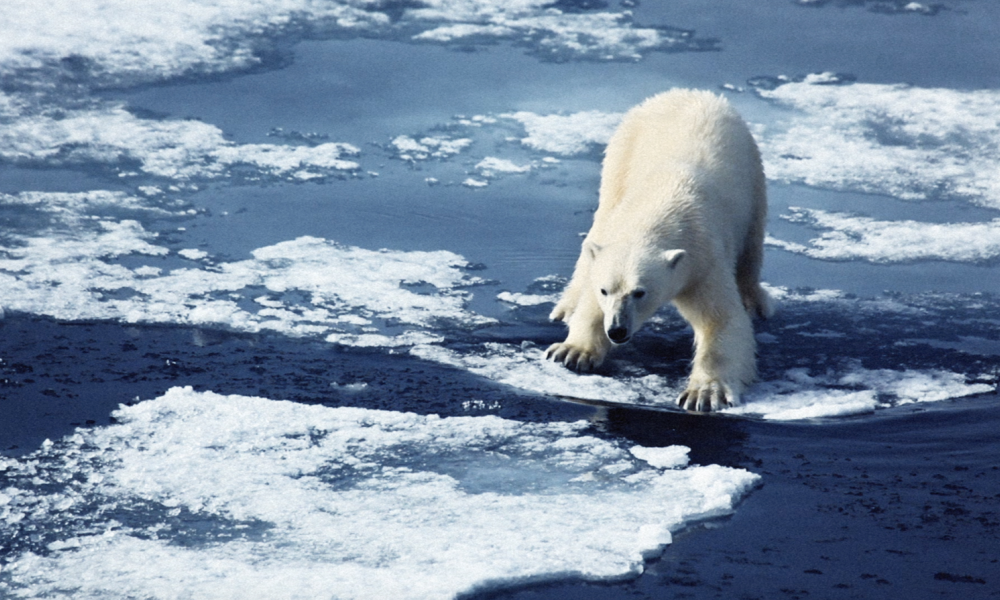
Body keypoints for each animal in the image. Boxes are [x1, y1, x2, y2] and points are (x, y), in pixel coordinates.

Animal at [548, 89, 772, 412]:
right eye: (606, 291)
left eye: (640, 292)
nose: (617, 330)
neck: (662, 204)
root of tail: (684, 92)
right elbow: (591, 298)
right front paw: (572, 351)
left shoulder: (703, 261)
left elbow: (721, 320)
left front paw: (703, 393)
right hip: (620, 157)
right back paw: (566, 306)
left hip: (753, 170)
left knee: (751, 251)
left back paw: (756, 302)